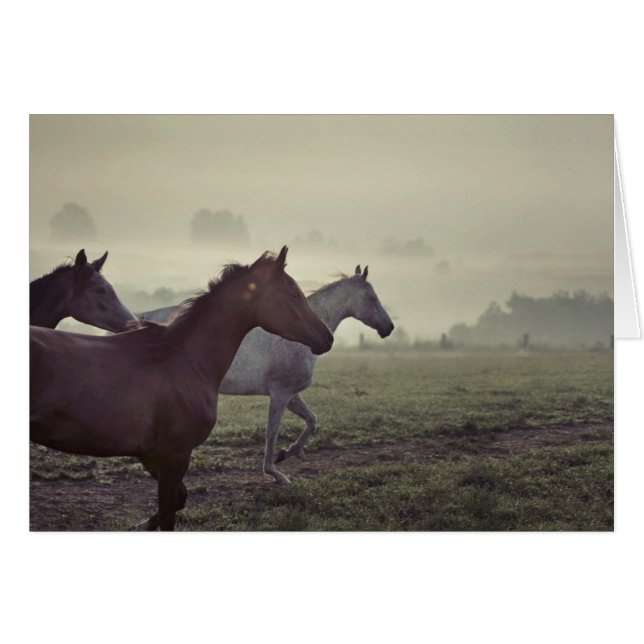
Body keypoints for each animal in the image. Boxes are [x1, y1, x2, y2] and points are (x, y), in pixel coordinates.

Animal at [30, 247, 333, 530]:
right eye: (294, 293)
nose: (328, 338)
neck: (183, 359)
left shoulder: (151, 455)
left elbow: (179, 500)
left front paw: (141, 525)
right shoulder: (174, 456)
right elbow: (169, 512)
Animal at [139, 264, 394, 484]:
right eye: (372, 298)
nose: (389, 327)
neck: (297, 336)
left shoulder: (291, 395)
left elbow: (312, 420)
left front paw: (289, 452)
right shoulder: (280, 394)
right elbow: (272, 432)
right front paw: (275, 473)